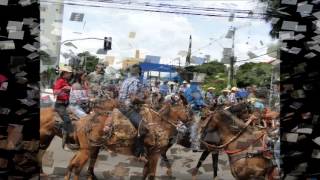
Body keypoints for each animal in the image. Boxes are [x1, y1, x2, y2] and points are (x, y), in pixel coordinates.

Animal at [63, 95, 191, 179]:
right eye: (188, 109)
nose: (190, 123)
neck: (159, 124)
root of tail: (80, 122)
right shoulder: (155, 154)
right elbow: (151, 175)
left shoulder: (150, 156)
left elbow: (145, 173)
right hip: (87, 150)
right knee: (76, 167)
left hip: (90, 149)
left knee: (74, 165)